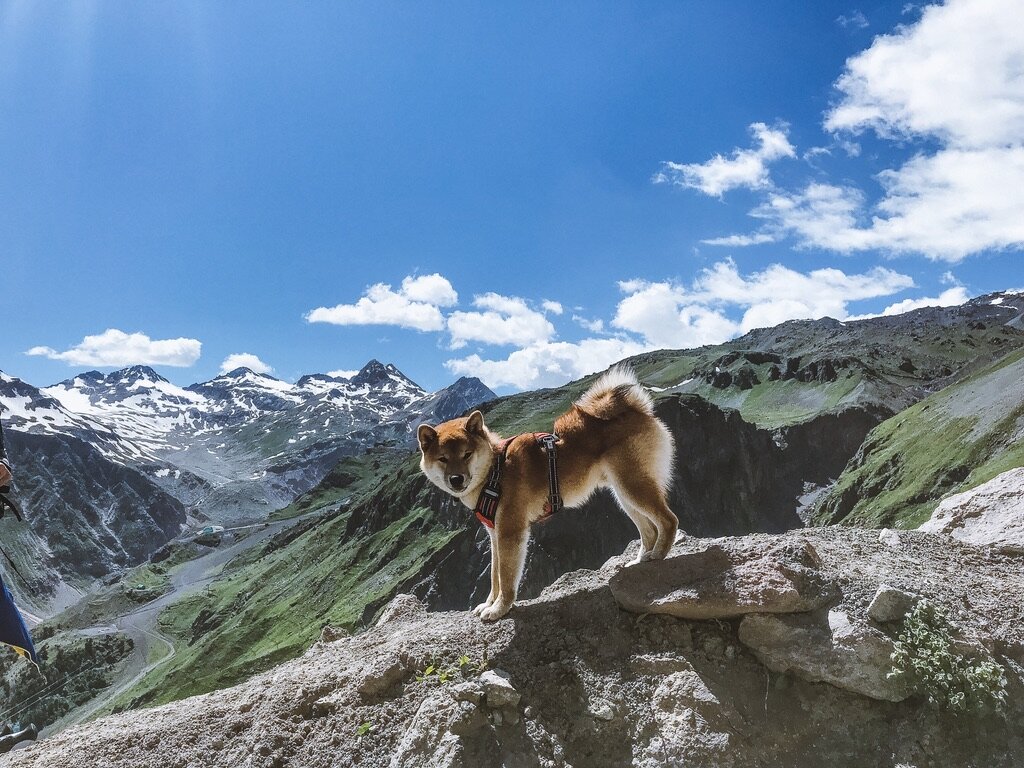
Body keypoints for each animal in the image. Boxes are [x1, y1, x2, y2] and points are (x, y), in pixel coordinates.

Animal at [419, 368, 675, 626]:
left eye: (467, 454)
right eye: (443, 459)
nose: (456, 479)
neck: (495, 471)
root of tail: (636, 410)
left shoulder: (510, 533)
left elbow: (506, 578)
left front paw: (500, 609)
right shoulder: (495, 535)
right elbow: (494, 577)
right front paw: (489, 603)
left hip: (633, 487)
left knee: (669, 520)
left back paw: (659, 555)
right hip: (623, 495)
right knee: (649, 530)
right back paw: (641, 559)